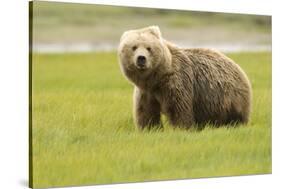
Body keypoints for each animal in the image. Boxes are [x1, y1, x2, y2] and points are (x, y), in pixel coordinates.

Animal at [117, 25, 250, 130]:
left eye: (149, 48)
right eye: (134, 47)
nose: (141, 58)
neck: (156, 78)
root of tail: (239, 68)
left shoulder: (177, 82)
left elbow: (178, 109)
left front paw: (181, 128)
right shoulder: (146, 91)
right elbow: (146, 111)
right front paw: (149, 129)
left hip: (229, 97)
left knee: (235, 117)